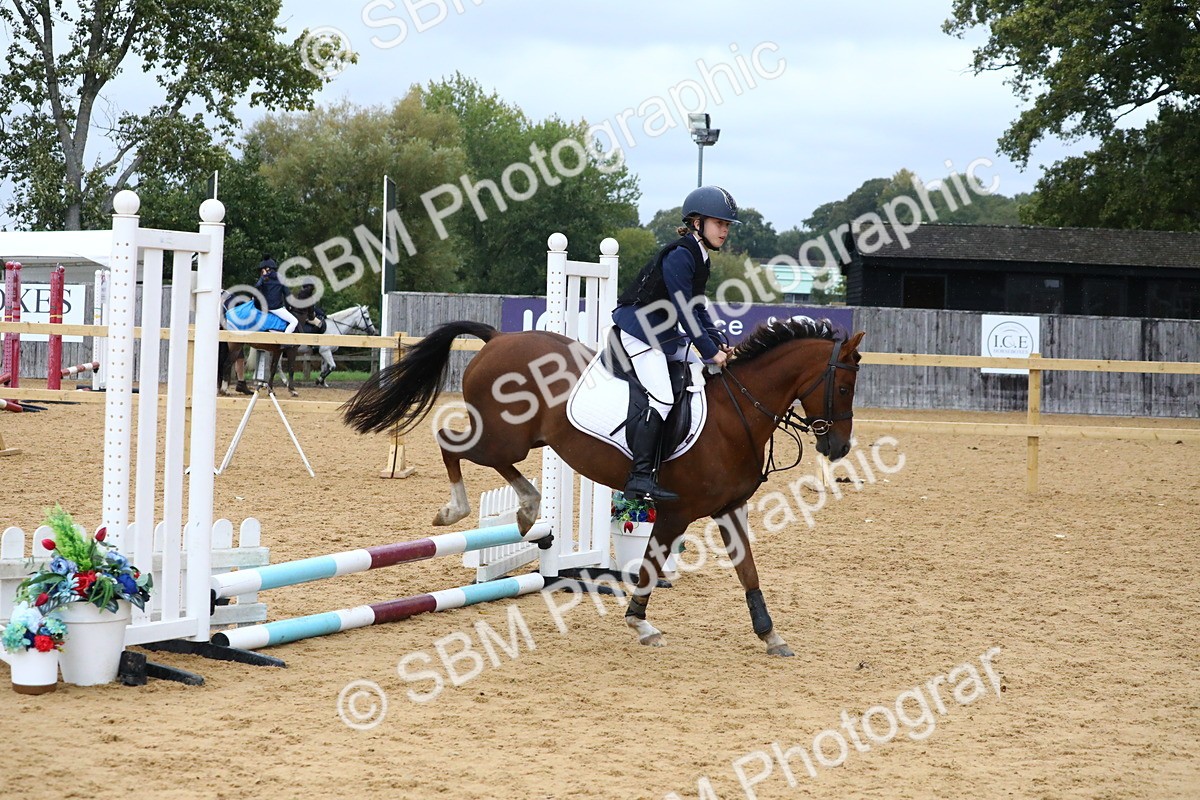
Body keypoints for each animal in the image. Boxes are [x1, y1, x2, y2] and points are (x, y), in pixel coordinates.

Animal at [341, 317, 865, 656]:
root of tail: (498, 338)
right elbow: (650, 567)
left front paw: (770, 634)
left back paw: (528, 509)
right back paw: (459, 510)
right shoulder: (676, 511)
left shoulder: (729, 507)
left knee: (498, 466)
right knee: (449, 442)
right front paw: (641, 623)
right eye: (842, 387)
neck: (736, 412)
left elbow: (748, 571)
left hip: (521, 440)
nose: (838, 447)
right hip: (499, 437)